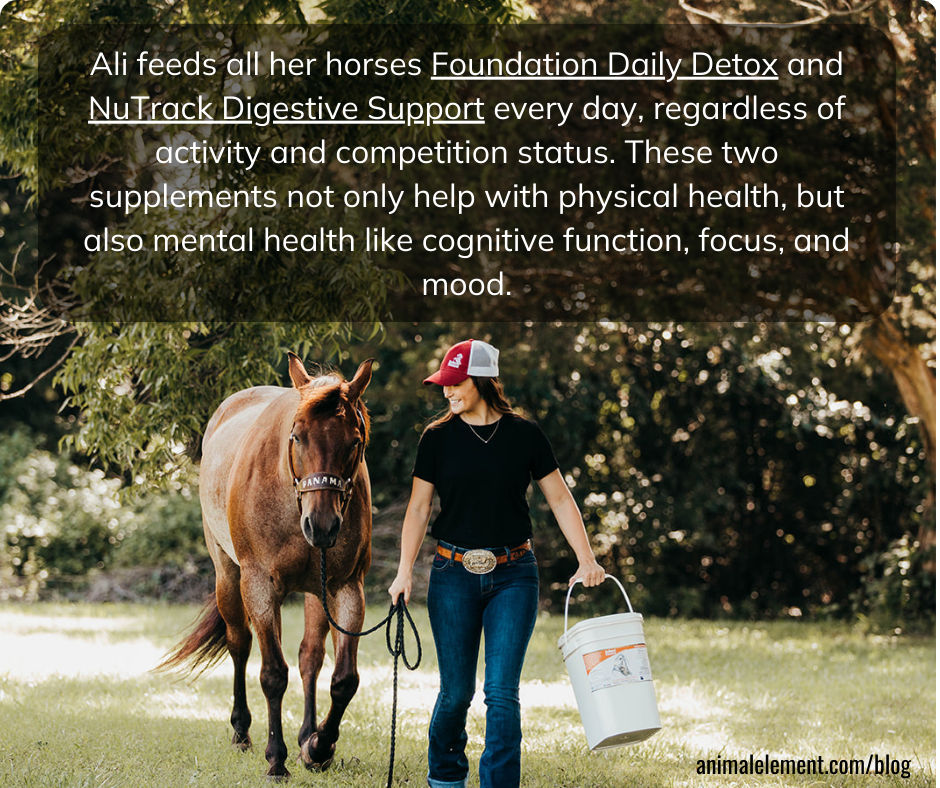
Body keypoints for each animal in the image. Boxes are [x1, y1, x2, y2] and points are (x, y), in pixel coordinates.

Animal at [160, 354, 372, 780]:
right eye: (298, 436)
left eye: (354, 442)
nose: (322, 525)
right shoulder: (258, 585)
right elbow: (273, 673)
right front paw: (277, 759)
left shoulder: (346, 588)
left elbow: (343, 679)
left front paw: (319, 746)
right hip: (228, 576)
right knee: (239, 644)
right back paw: (242, 732)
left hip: (315, 592)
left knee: (310, 657)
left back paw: (308, 734)